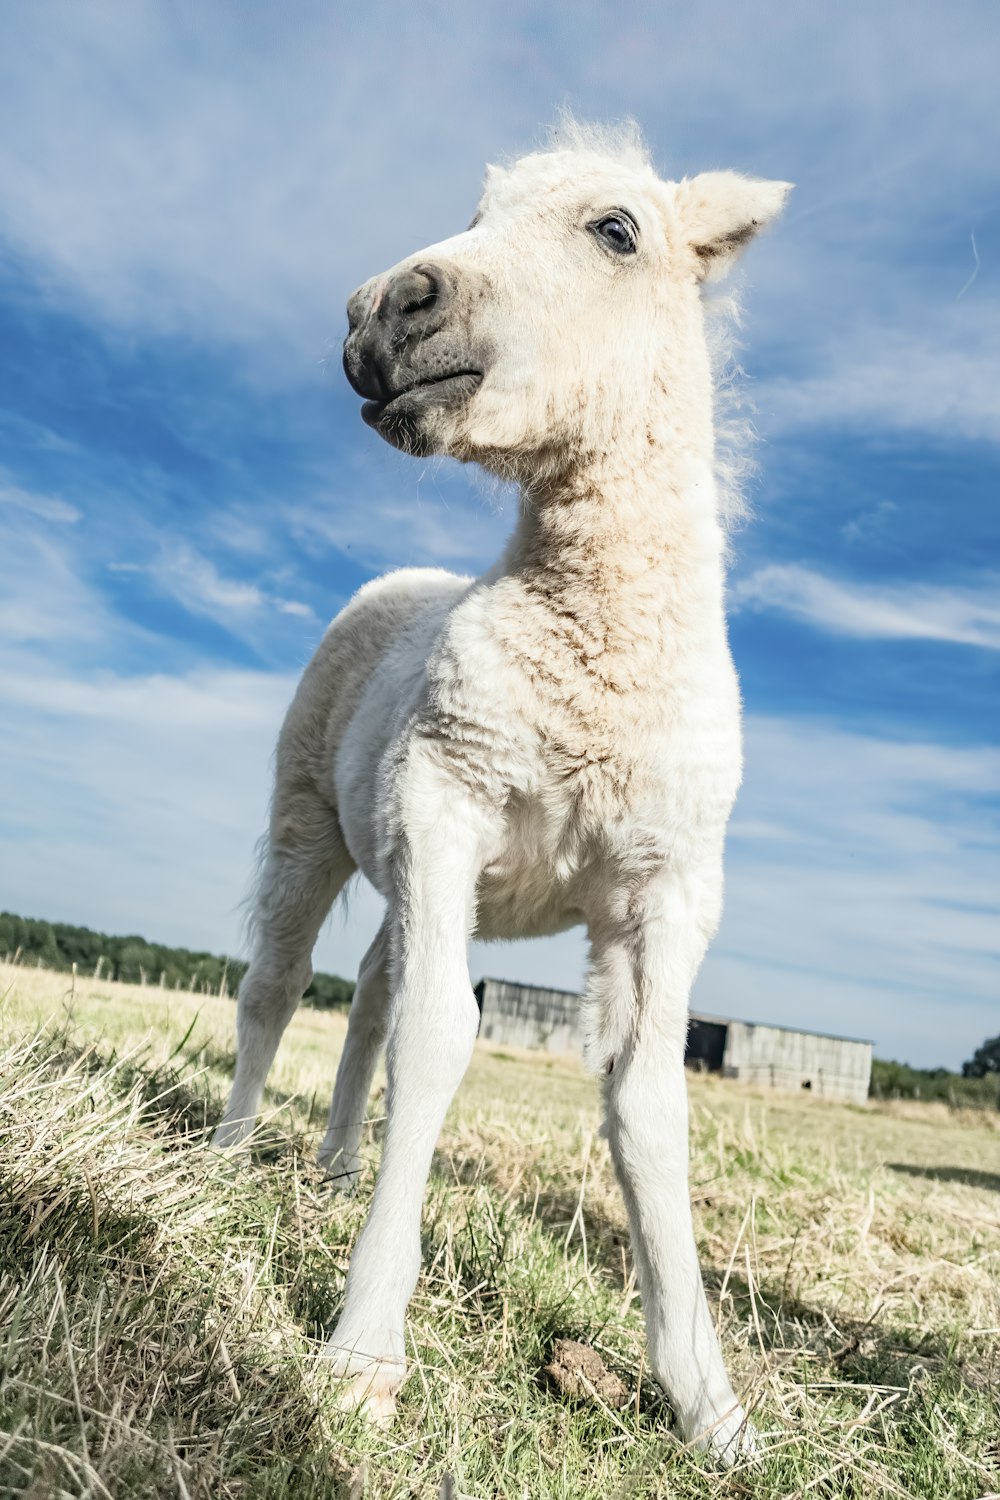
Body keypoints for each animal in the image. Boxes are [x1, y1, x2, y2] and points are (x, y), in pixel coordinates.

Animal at [217, 120, 791, 1464]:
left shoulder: (663, 889)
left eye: (616, 230)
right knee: (279, 985)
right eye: (474, 211)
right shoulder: (449, 805)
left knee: (367, 999)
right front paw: (362, 1357)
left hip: (414, 870)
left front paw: (712, 1409)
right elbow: (442, 1042)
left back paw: (331, 1168)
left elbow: (647, 1107)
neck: (596, 663)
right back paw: (229, 1153)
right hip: (314, 820)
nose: (380, 311)